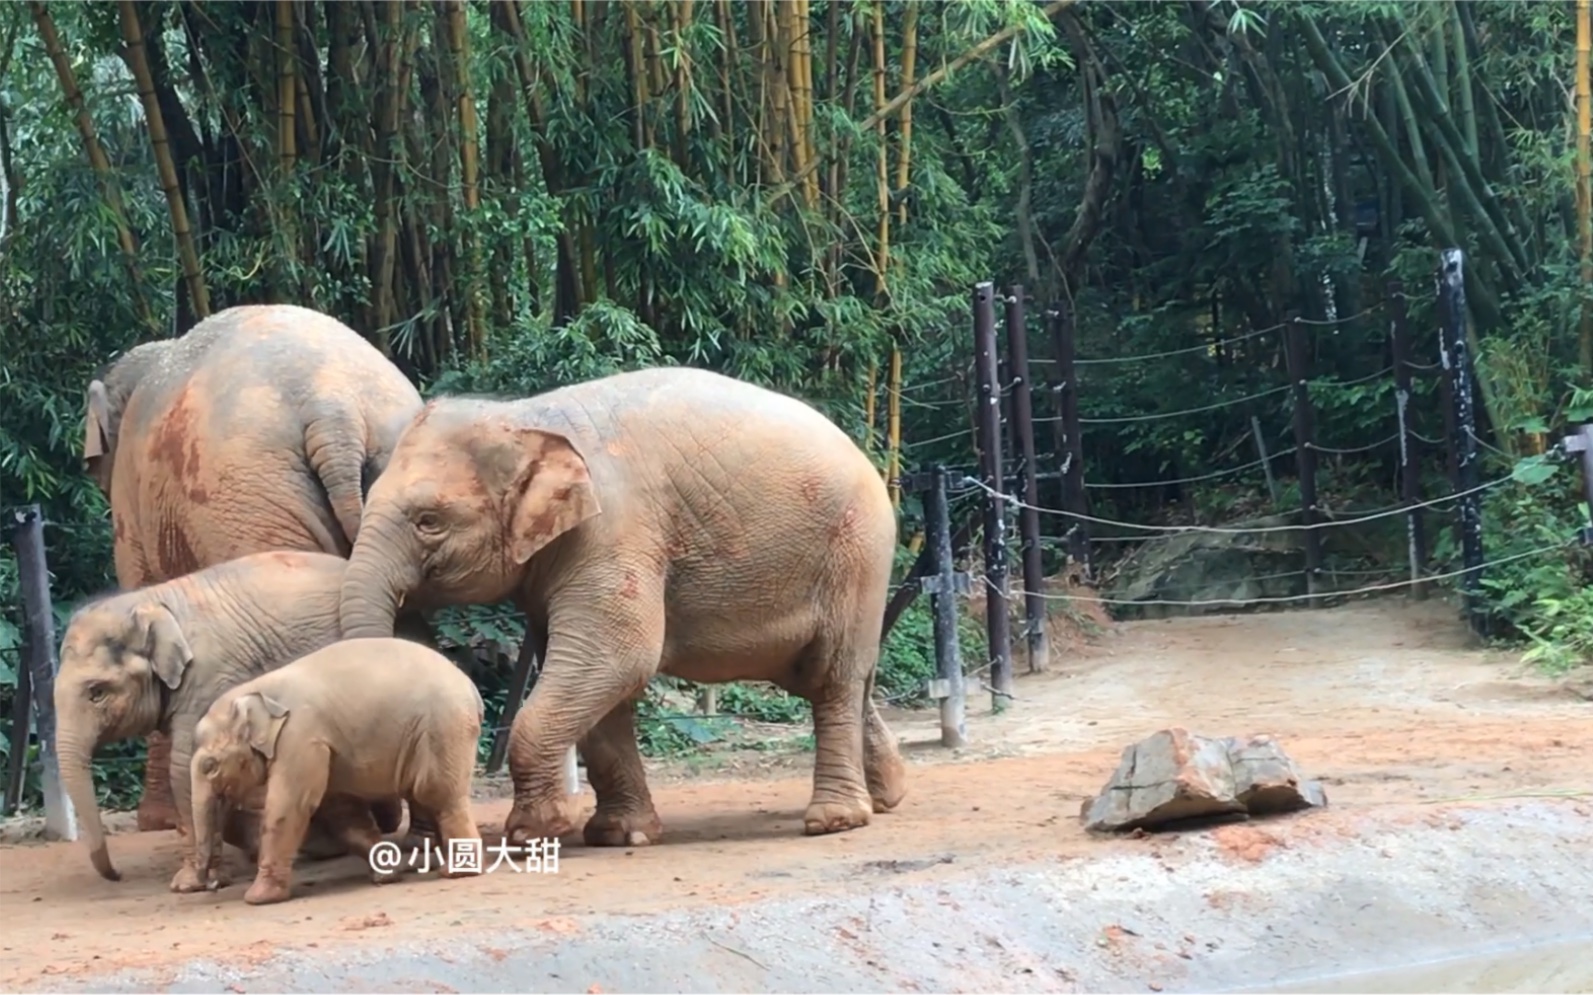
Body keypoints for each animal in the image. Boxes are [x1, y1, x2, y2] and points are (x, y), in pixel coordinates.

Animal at [57, 547, 410, 891]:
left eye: (97, 692)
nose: (117, 876)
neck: (151, 601)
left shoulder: (208, 677)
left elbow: (182, 766)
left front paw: (190, 884)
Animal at [191, 633, 484, 904]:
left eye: (209, 766)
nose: (211, 884)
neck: (256, 689)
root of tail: (472, 687)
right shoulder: (325, 750)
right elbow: (343, 812)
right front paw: (386, 875)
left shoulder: (300, 738)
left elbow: (289, 807)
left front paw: (257, 898)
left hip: (443, 727)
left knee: (437, 794)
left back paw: (457, 872)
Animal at [336, 364, 911, 846]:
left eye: (428, 521)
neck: (526, 416)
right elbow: (602, 680)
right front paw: (620, 835)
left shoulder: (612, 531)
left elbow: (618, 656)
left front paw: (533, 833)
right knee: (824, 676)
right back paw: (888, 797)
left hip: (856, 553)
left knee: (833, 676)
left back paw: (835, 821)